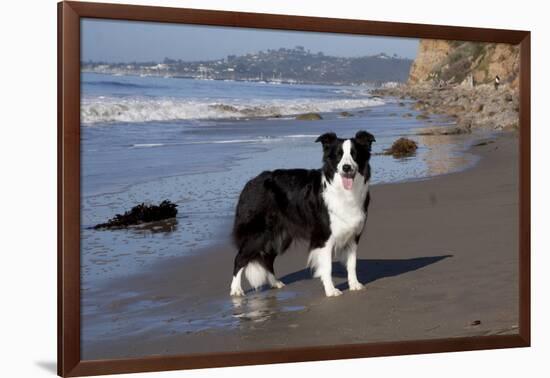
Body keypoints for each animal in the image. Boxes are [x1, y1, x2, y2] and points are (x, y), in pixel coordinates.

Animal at [231, 131, 378, 296]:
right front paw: (331, 290)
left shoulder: (353, 235)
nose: (346, 167)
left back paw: (275, 283)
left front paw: (354, 285)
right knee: (240, 258)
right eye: (338, 155)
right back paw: (236, 290)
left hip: (279, 236)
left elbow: (352, 264)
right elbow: (327, 267)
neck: (343, 191)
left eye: (354, 154)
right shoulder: (323, 237)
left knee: (267, 259)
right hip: (258, 234)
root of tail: (250, 183)